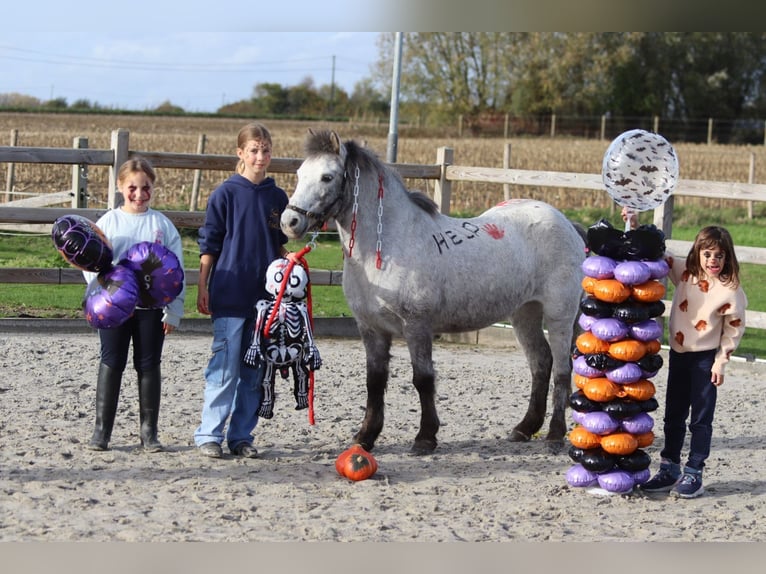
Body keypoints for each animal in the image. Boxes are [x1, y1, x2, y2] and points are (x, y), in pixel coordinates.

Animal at [281, 130, 586, 454]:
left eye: (327, 177)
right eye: (299, 174)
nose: (290, 222)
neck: (388, 245)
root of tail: (568, 225)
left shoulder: (417, 326)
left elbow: (423, 378)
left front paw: (425, 437)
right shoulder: (371, 328)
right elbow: (374, 381)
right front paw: (365, 437)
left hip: (559, 315)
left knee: (562, 369)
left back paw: (555, 434)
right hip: (524, 314)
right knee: (540, 363)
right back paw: (524, 428)